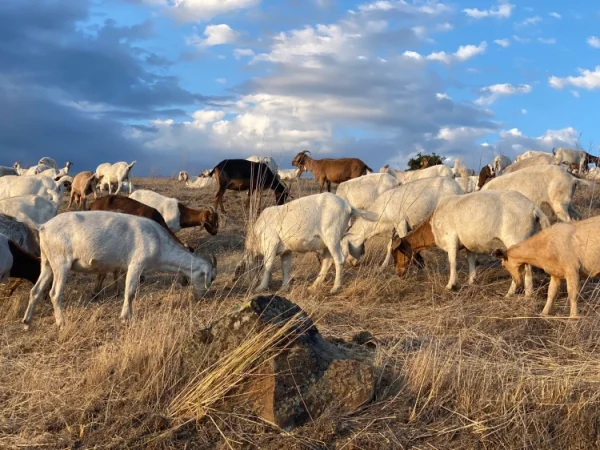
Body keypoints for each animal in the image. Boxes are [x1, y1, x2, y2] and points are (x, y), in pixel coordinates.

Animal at [22, 213, 218, 328]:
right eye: (211, 278)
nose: (201, 297)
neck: (159, 242)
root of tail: (43, 227)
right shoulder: (136, 264)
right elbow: (130, 292)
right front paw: (126, 317)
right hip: (61, 262)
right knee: (55, 293)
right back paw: (61, 323)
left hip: (47, 262)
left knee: (35, 290)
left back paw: (27, 322)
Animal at [234, 193, 376, 296]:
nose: (250, 285)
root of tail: (348, 206)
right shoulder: (286, 251)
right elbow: (286, 267)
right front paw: (284, 287)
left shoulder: (271, 244)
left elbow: (268, 265)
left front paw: (261, 287)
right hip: (327, 242)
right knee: (327, 261)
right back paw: (314, 286)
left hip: (333, 236)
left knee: (339, 260)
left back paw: (335, 288)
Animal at [392, 189, 552, 296]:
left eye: (396, 253)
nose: (398, 274)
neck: (432, 225)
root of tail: (533, 208)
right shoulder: (469, 245)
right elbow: (471, 260)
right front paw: (471, 281)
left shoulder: (451, 240)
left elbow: (452, 262)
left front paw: (450, 285)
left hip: (515, 239)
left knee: (524, 266)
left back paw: (521, 293)